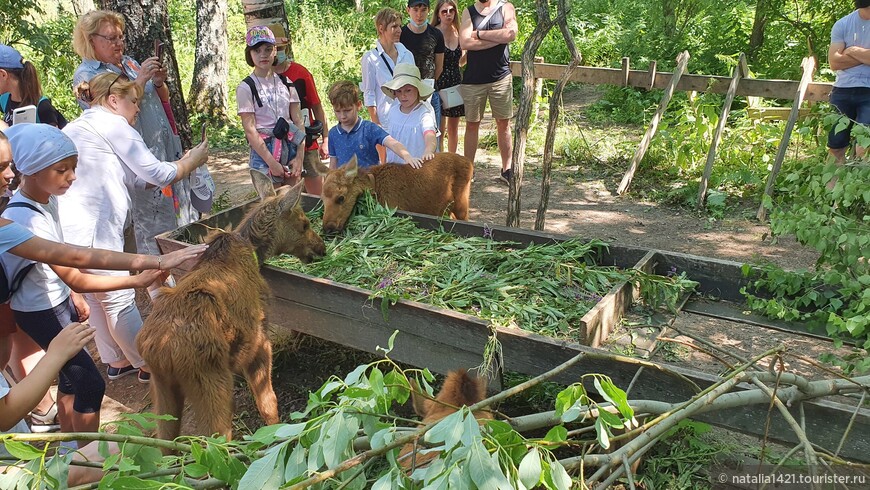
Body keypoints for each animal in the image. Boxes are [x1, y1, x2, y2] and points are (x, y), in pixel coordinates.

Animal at [136, 172, 328, 444]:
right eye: (304, 224)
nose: (321, 249)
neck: (253, 252)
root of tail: (158, 352)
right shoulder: (259, 340)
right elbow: (268, 404)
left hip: (162, 391)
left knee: (164, 444)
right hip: (210, 380)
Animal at [320, 153, 474, 234]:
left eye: (341, 197)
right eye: (322, 199)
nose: (328, 227)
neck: (376, 188)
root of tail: (469, 162)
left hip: (462, 203)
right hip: (448, 208)